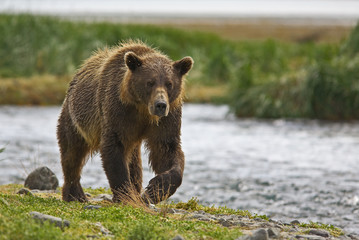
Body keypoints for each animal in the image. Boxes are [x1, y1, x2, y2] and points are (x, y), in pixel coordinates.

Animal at [57, 40, 194, 203]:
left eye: (169, 83)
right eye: (150, 82)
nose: (160, 105)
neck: (142, 110)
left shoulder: (167, 118)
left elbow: (168, 150)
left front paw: (154, 190)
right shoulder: (117, 112)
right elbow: (114, 148)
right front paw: (126, 195)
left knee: (134, 163)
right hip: (76, 118)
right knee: (72, 152)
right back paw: (75, 194)